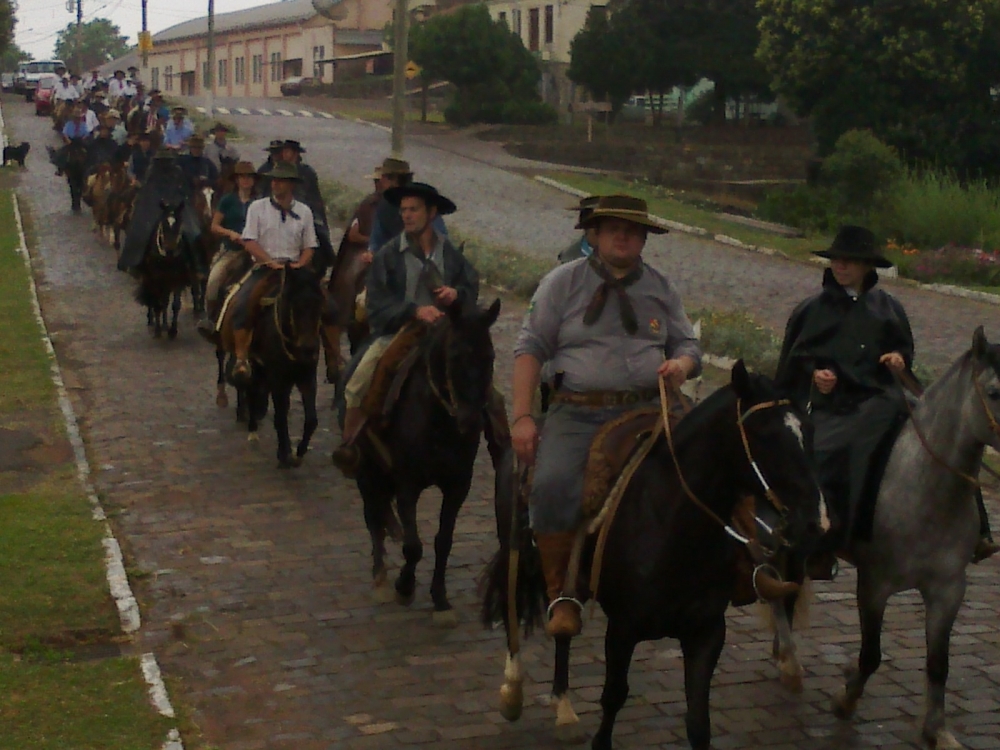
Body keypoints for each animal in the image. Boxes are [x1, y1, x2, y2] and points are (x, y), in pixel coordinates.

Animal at [135, 200, 193, 340]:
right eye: (164, 224)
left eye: (179, 223)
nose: (170, 250)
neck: (168, 260)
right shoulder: (156, 279)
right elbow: (157, 303)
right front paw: (157, 330)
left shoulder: (177, 280)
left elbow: (175, 305)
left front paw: (172, 330)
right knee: (153, 299)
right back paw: (152, 323)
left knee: (165, 301)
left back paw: (165, 325)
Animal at [237, 268, 320, 470]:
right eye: (294, 304)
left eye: (319, 303)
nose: (309, 348)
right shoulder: (278, 379)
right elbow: (280, 417)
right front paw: (284, 453)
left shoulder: (307, 378)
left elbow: (311, 419)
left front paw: (298, 453)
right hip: (256, 367)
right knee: (252, 392)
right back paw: (252, 430)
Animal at [362, 298, 504, 624]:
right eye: (454, 354)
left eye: (490, 355)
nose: (471, 421)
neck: (437, 422)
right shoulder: (407, 484)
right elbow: (413, 545)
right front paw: (404, 587)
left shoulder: (457, 485)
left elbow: (444, 540)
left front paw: (440, 599)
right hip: (368, 472)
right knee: (373, 517)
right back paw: (380, 579)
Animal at [480, 362, 824, 748]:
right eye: (763, 435)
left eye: (810, 429)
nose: (815, 521)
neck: (671, 521)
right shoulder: (623, 628)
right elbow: (613, 696)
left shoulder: (706, 631)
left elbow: (698, 722)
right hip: (515, 547)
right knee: (518, 608)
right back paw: (514, 692)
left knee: (562, 623)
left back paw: (564, 708)